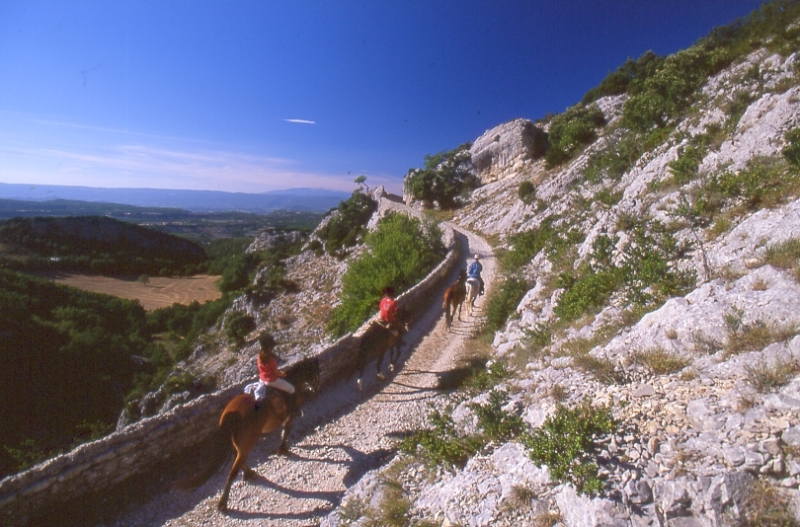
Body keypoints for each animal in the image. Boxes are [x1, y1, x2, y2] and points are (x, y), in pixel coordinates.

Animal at [173, 356, 320, 512]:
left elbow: (285, 431)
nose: (316, 388)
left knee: (239, 459)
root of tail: (231, 413)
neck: (293, 381)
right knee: (234, 469)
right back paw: (223, 502)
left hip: (239, 443)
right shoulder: (290, 416)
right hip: (247, 442)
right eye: (317, 371)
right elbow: (286, 430)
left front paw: (282, 449)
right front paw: (283, 449)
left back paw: (248, 474)